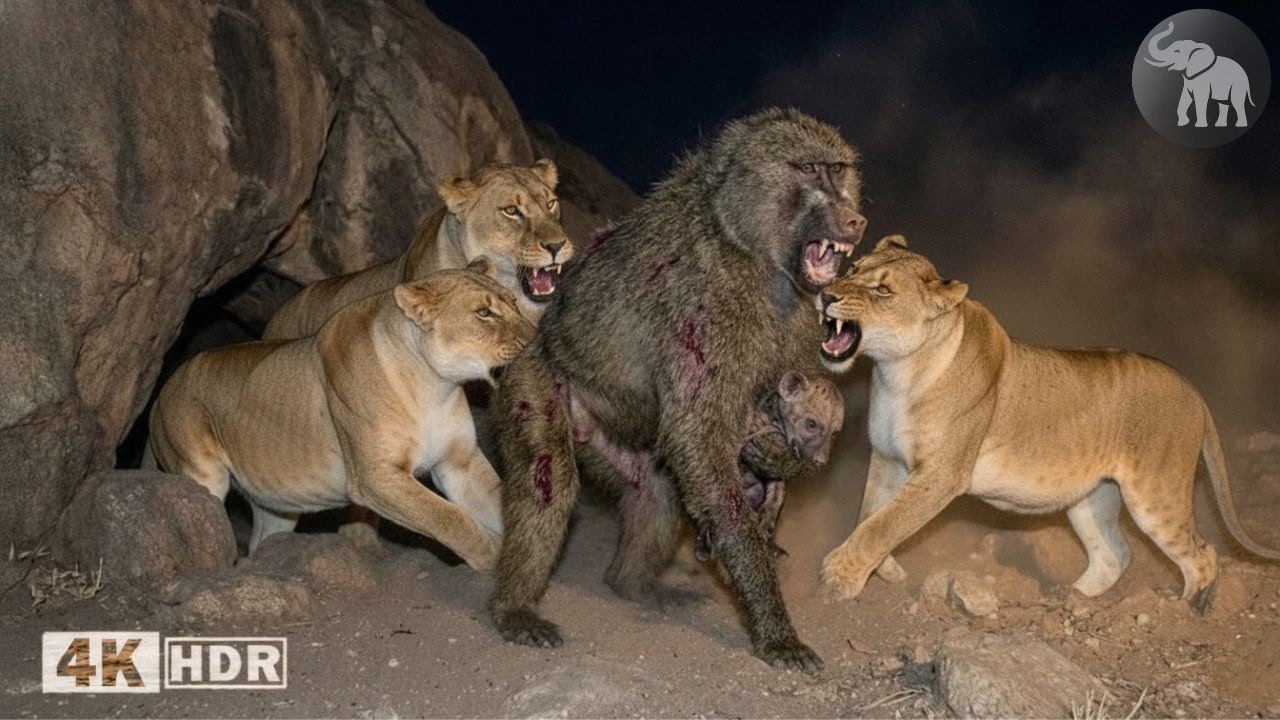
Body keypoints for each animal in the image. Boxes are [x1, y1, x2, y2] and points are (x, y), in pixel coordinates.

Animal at [150, 258, 535, 569]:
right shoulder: (375, 477)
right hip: (201, 472)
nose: (536, 339)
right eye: (483, 313)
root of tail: (164, 388)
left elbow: (497, 503)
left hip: (277, 507)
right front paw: (493, 556)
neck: (434, 387)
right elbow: (448, 518)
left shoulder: (460, 463)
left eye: (515, 303)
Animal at [817, 235, 1280, 611]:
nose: (824, 295)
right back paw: (1069, 599)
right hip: (1092, 498)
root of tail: (1193, 390)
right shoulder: (887, 459)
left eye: (882, 290)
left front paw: (839, 577)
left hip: (1156, 494)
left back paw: (1183, 612)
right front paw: (885, 571)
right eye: (853, 269)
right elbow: (869, 514)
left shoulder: (941, 474)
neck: (897, 373)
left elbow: (884, 524)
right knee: (1115, 555)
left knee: (1202, 555)